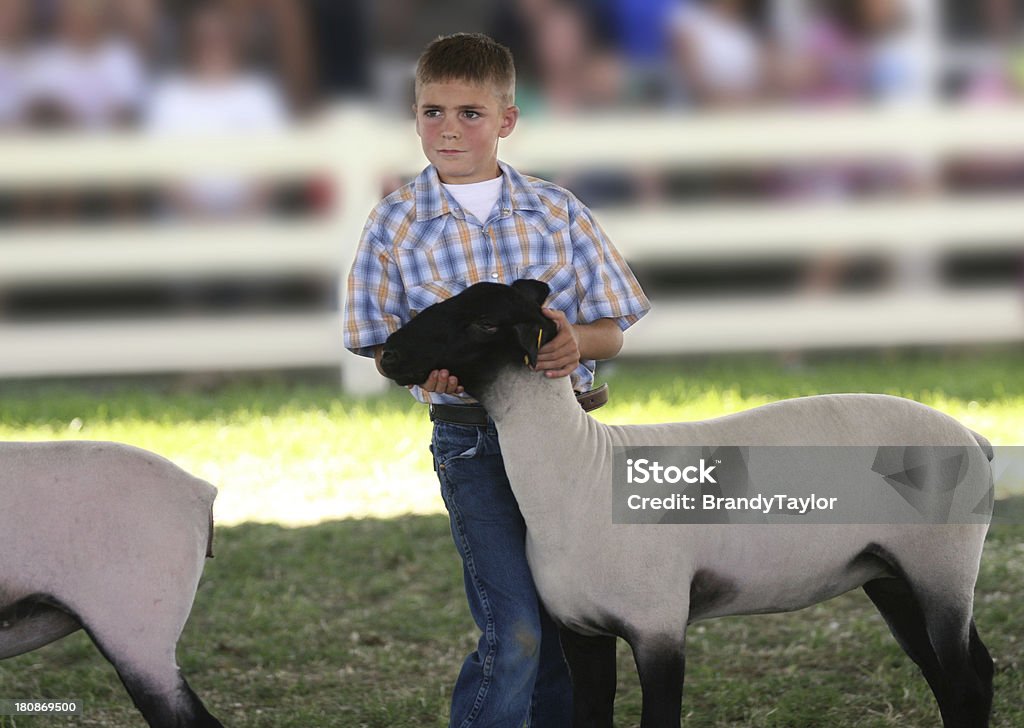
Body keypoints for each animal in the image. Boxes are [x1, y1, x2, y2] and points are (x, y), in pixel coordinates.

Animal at [380, 278, 995, 728]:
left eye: (483, 322)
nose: (388, 353)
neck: (578, 475)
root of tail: (973, 437)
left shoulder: (659, 626)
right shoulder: (582, 631)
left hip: (941, 566)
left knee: (966, 681)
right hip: (890, 576)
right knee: (962, 675)